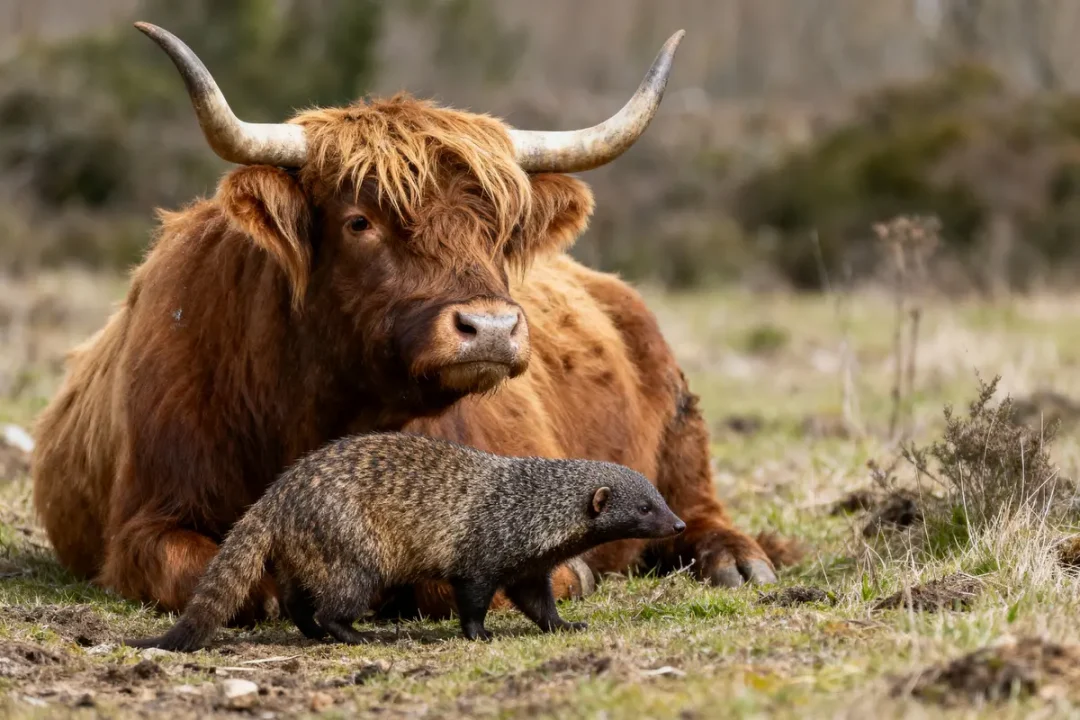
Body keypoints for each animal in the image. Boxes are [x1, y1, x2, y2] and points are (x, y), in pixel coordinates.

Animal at [31, 22, 790, 624]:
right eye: (359, 221)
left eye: (501, 228)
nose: (491, 328)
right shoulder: (144, 525)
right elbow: (229, 578)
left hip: (682, 429)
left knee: (697, 508)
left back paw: (737, 562)